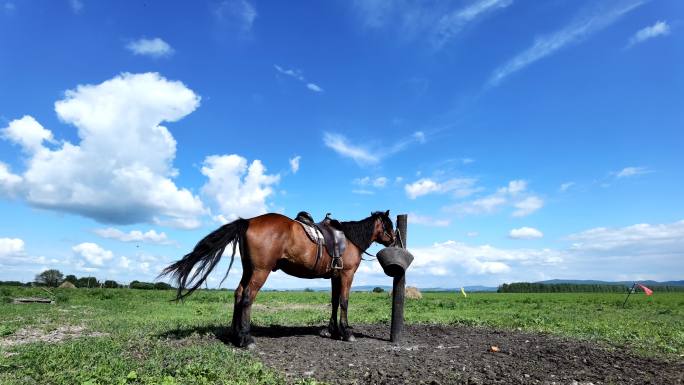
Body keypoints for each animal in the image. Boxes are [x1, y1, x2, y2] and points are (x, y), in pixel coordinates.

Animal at [160, 210, 396, 348]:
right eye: (389, 225)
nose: (394, 240)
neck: (349, 239)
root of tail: (247, 222)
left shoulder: (335, 276)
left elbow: (335, 302)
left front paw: (333, 330)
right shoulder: (347, 274)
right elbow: (345, 302)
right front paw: (346, 333)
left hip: (249, 270)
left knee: (238, 294)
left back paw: (235, 336)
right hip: (260, 271)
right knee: (247, 297)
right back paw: (246, 339)